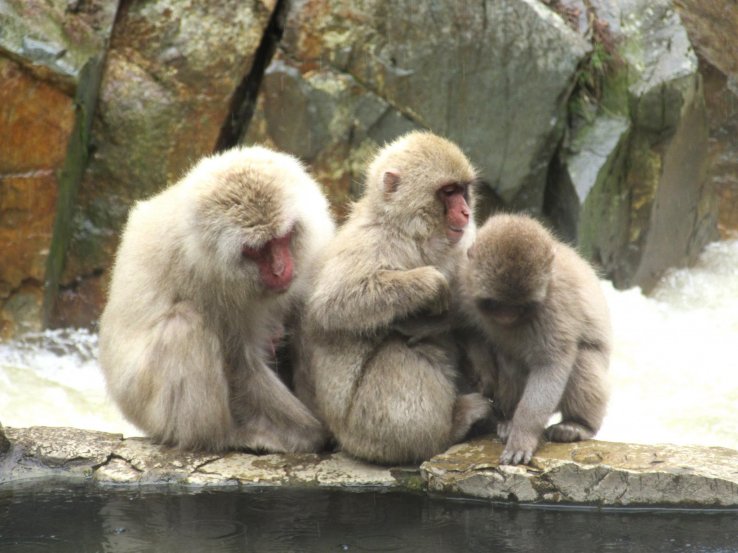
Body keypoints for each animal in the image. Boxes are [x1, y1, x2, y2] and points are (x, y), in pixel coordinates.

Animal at [98, 145, 336, 453]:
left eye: (281, 238)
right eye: (256, 250)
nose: (280, 269)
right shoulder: (206, 284)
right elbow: (239, 367)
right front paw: (312, 433)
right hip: (146, 406)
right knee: (184, 325)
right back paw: (221, 437)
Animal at [297, 131, 492, 465]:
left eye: (463, 191)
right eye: (448, 192)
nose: (466, 212)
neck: (413, 234)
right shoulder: (373, 241)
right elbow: (334, 304)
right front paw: (431, 284)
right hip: (366, 432)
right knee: (398, 350)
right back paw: (449, 430)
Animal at [459, 213, 611, 465]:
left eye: (519, 306)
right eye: (496, 303)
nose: (507, 316)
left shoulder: (555, 307)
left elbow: (550, 366)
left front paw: (523, 435)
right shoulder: (462, 285)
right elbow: (470, 331)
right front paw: (483, 374)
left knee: (582, 360)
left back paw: (578, 425)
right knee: (509, 361)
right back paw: (507, 420)